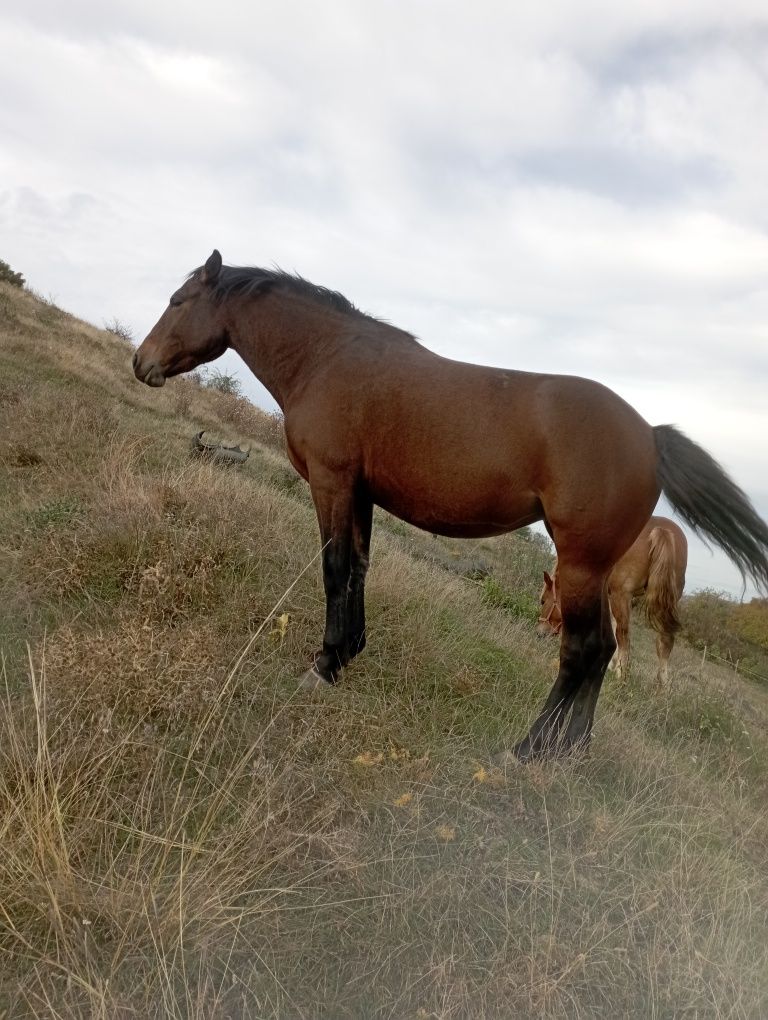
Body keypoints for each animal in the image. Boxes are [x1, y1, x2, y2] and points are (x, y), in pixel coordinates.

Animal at [534, 518, 685, 685]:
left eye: (543, 601)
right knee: (665, 641)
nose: (539, 633)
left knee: (624, 635)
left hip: (622, 595)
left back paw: (621, 675)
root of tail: (662, 530)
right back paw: (662, 684)